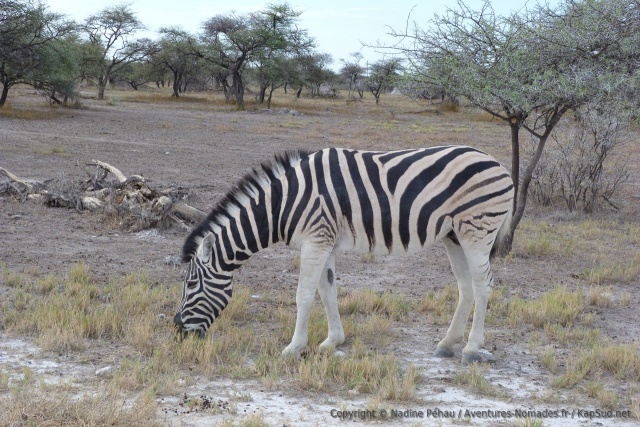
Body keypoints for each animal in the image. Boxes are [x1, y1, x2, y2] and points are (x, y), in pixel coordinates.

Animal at [173, 146, 514, 364]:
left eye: (190, 285)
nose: (177, 329)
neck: (282, 204)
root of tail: (498, 163)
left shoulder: (315, 240)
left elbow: (304, 295)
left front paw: (294, 348)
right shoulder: (325, 243)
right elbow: (328, 292)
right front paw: (332, 342)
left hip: (477, 231)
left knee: (483, 286)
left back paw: (471, 349)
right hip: (453, 236)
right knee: (466, 287)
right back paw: (447, 344)